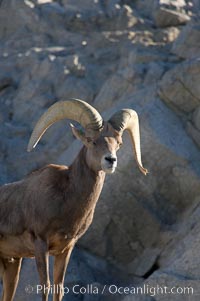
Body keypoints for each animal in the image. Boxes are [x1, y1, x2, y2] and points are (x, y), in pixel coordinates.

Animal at [0, 99, 147, 300]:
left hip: (11, 264)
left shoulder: (65, 250)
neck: (65, 201)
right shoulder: (40, 244)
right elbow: (45, 286)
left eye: (118, 143)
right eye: (91, 140)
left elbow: (59, 287)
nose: (111, 160)